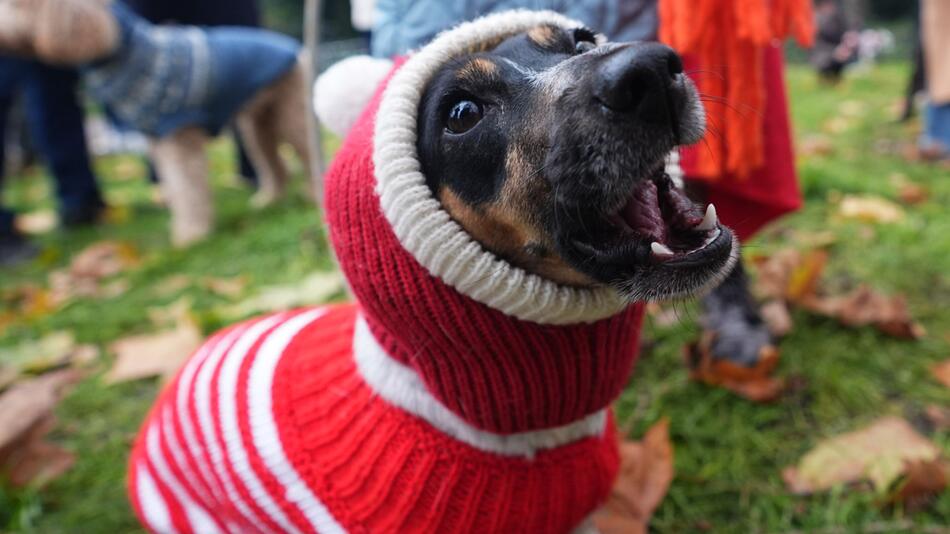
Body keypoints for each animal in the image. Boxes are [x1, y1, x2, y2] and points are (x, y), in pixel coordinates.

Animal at [0, 0, 314, 246]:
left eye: (18, 5)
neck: (126, 50)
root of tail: (297, 48)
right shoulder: (158, 140)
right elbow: (174, 185)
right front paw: (182, 226)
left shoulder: (177, 134)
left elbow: (187, 186)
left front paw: (192, 235)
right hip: (257, 123)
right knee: (272, 162)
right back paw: (269, 198)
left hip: (291, 112)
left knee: (305, 149)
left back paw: (309, 192)